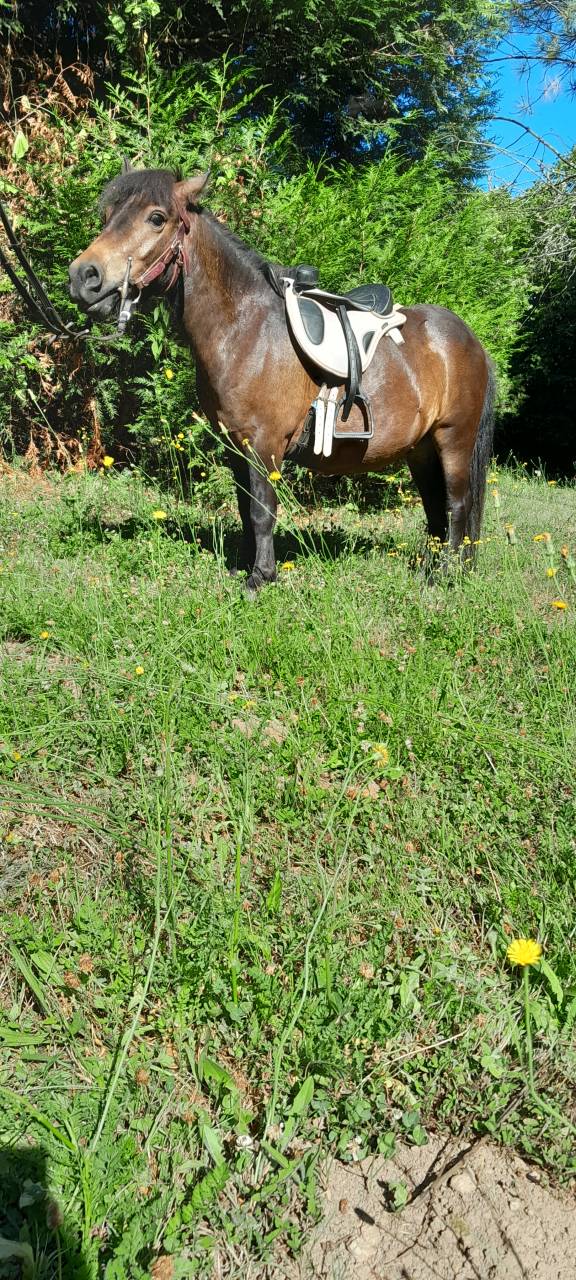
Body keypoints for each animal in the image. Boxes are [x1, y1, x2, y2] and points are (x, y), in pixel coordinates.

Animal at [68, 166, 496, 592]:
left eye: (156, 218)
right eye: (108, 216)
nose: (82, 276)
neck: (246, 329)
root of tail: (472, 341)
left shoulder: (263, 444)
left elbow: (262, 510)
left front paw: (261, 578)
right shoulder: (235, 445)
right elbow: (245, 507)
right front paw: (242, 567)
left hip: (453, 440)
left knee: (456, 505)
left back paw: (446, 575)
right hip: (421, 449)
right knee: (435, 509)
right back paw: (433, 568)